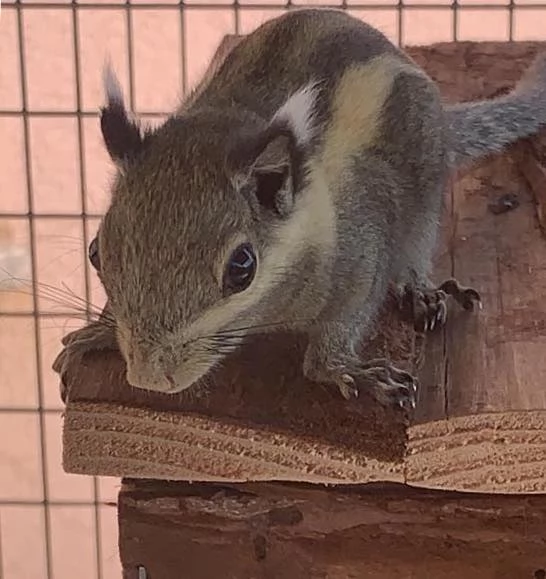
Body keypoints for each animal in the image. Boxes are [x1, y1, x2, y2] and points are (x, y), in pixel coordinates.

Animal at [53, 6, 544, 410]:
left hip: (425, 179)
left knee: (418, 240)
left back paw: (418, 288)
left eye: (242, 268)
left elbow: (346, 319)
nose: (150, 378)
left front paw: (343, 369)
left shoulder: (361, 251)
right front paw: (100, 332)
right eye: (95, 253)